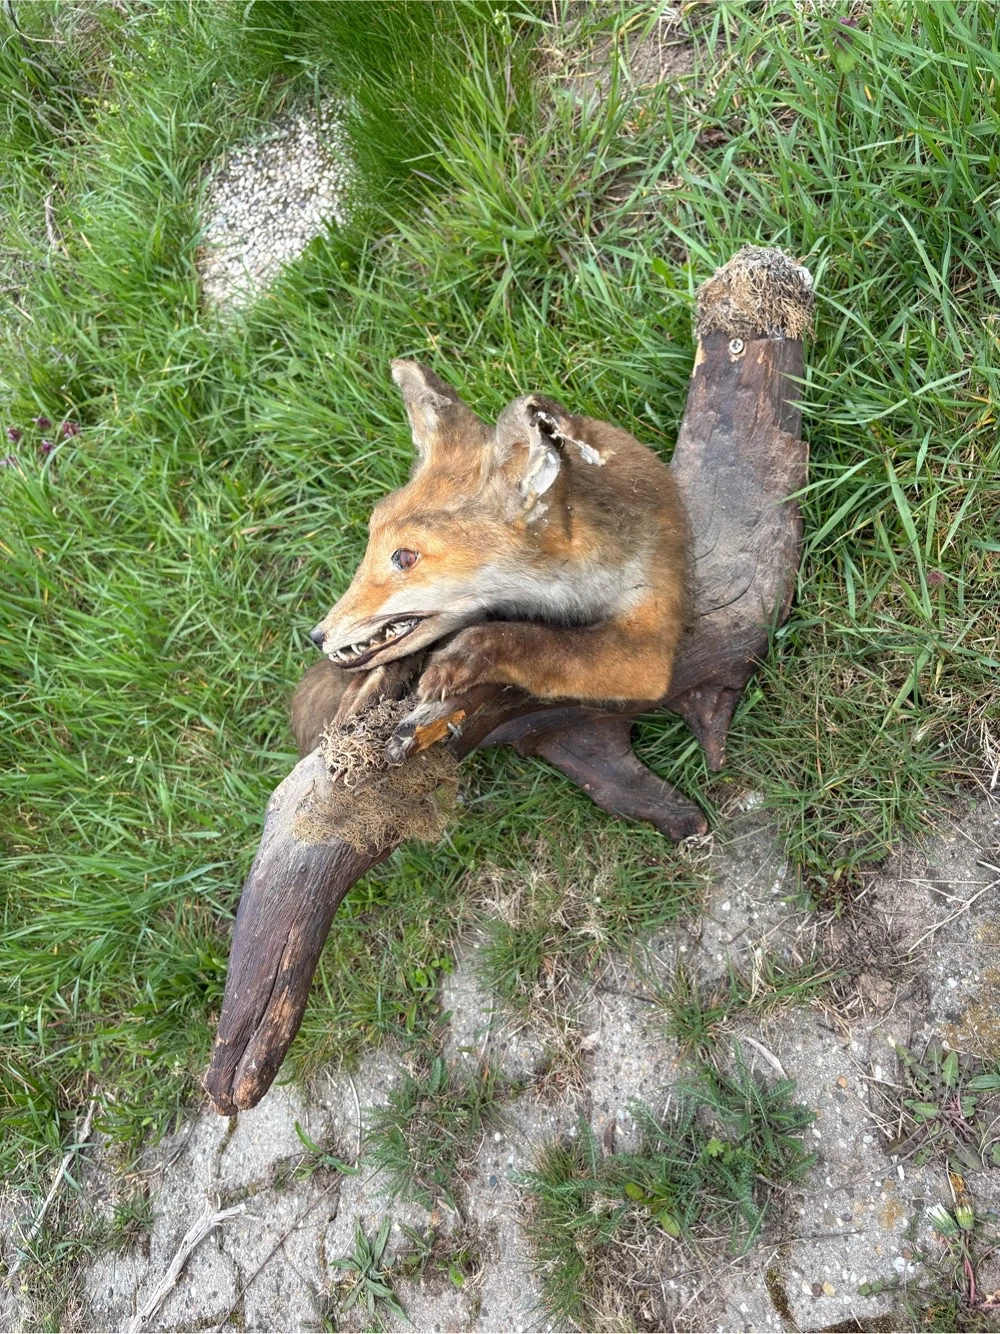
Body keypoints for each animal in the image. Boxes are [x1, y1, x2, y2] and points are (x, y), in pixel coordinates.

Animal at [291, 360, 690, 756]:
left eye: (404, 558)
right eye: (372, 534)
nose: (317, 636)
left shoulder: (650, 643)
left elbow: (542, 642)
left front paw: (464, 656)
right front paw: (371, 688)